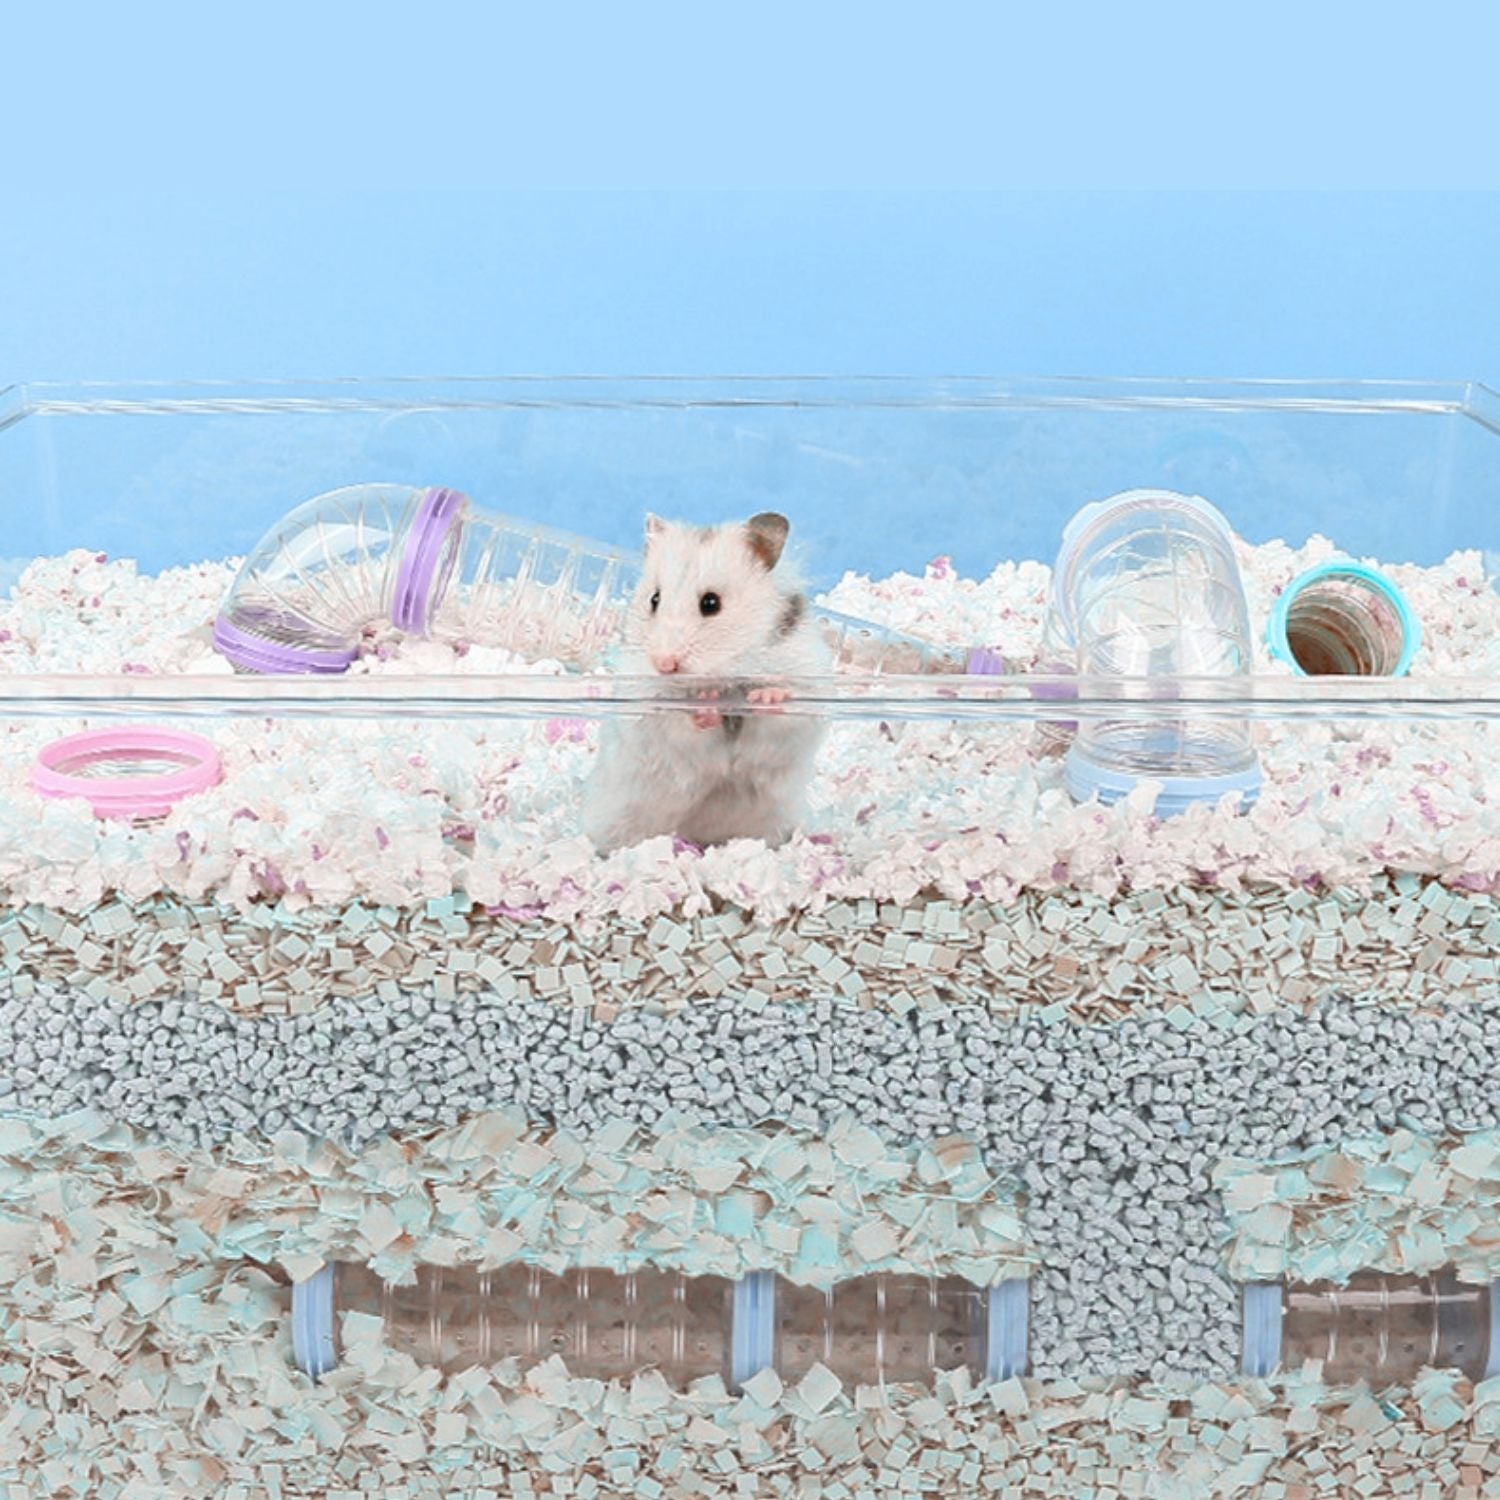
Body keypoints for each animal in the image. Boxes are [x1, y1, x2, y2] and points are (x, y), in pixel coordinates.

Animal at [582, 511, 830, 853]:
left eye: (711, 603)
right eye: (654, 599)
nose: (664, 664)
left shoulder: (805, 696)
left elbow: (779, 718)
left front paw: (766, 696)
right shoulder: (657, 716)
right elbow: (685, 728)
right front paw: (706, 705)